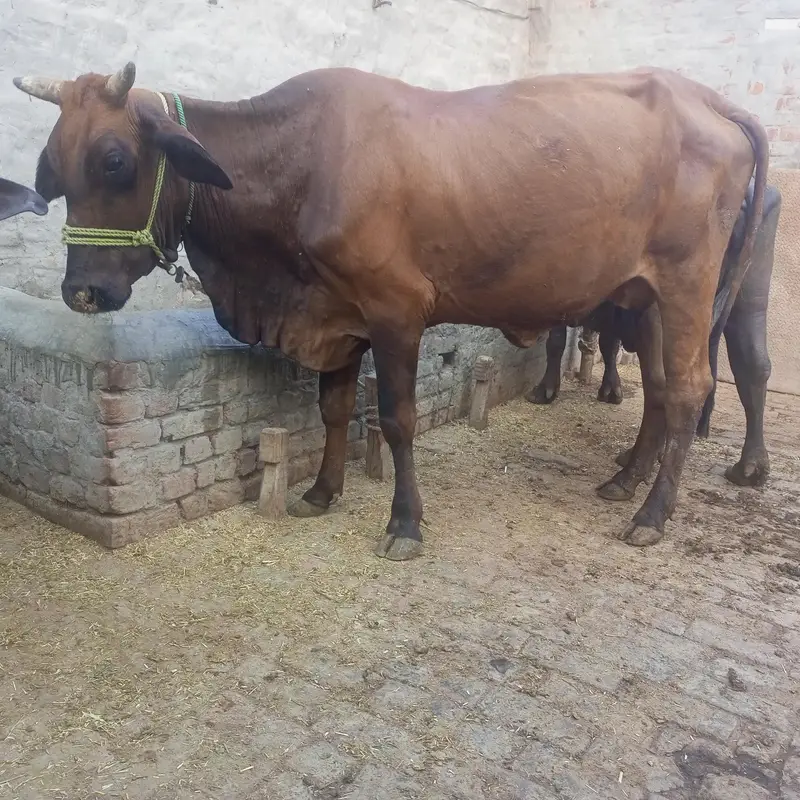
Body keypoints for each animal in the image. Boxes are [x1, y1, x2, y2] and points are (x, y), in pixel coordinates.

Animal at [529, 180, 781, 490]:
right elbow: (608, 345)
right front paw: (611, 389)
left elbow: (558, 341)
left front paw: (544, 391)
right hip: (749, 299)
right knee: (753, 365)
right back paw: (750, 467)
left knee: (671, 382)